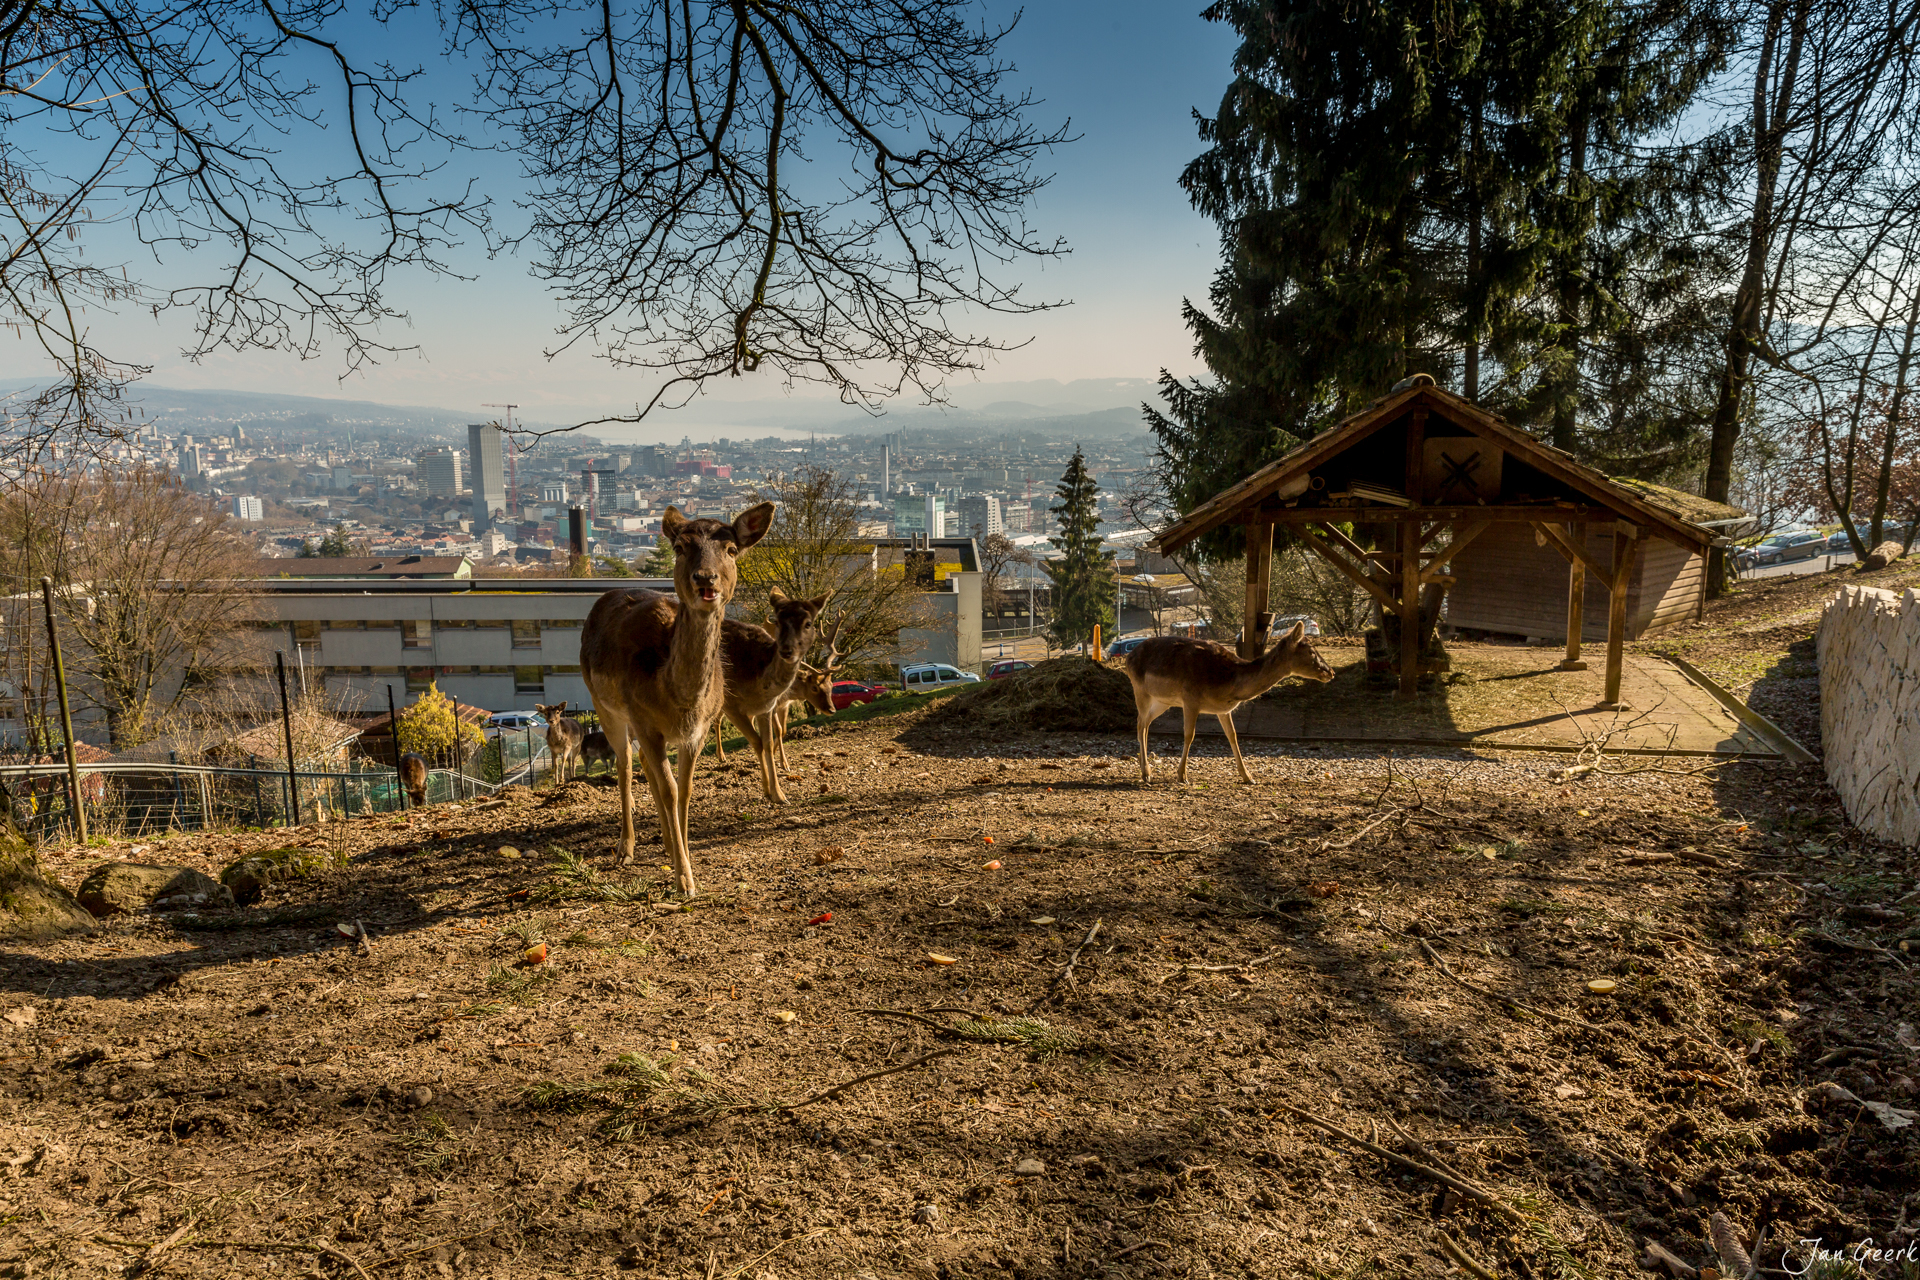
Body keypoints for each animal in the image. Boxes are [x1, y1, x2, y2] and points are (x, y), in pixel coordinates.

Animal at [579, 498, 775, 890]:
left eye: (731, 549)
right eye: (681, 547)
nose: (705, 578)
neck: (681, 702)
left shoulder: (697, 730)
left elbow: (683, 791)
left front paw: (683, 858)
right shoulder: (645, 721)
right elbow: (668, 789)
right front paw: (684, 880)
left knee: (643, 765)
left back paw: (668, 844)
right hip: (603, 704)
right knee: (625, 764)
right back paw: (626, 849)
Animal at [721, 587, 833, 802]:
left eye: (808, 623)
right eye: (815, 688)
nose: (832, 709)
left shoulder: (770, 707)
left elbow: (771, 738)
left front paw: (777, 791)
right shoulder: (735, 706)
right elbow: (762, 738)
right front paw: (769, 785)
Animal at [1121, 625, 1336, 786]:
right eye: (1311, 651)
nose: (1331, 672)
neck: (1229, 682)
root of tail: (1128, 657)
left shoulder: (1223, 710)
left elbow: (1232, 736)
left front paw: (1248, 777)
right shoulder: (1190, 699)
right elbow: (1189, 735)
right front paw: (1182, 776)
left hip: (1163, 701)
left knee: (1145, 724)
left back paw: (1145, 767)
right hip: (1140, 689)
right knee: (1140, 723)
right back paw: (1146, 773)